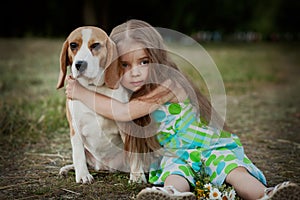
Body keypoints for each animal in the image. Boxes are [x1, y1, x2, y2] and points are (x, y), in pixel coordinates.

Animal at [56, 26, 132, 184]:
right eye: (73, 45)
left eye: (95, 45)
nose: (80, 64)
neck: (93, 89)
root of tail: (105, 167)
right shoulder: (75, 128)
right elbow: (78, 154)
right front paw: (82, 175)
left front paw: (138, 177)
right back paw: (67, 169)